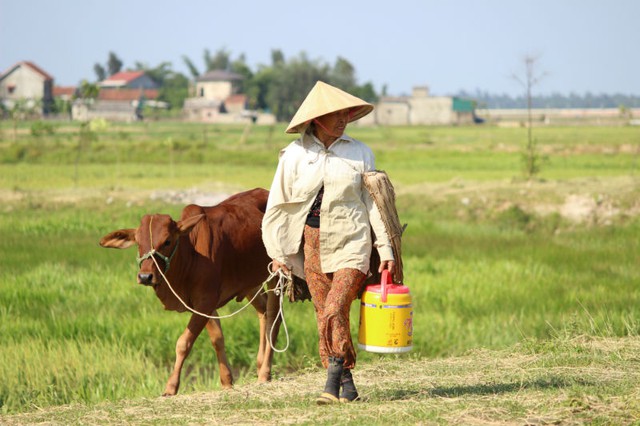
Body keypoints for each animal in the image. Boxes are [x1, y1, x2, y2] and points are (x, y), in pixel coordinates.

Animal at [100, 188, 280, 394]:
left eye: (167, 241)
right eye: (138, 241)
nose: (145, 276)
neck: (191, 254)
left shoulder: (205, 302)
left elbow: (183, 343)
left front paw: (171, 386)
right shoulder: (205, 305)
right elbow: (217, 339)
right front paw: (227, 381)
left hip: (276, 273)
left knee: (274, 317)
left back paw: (265, 372)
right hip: (251, 283)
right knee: (263, 312)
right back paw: (260, 365)